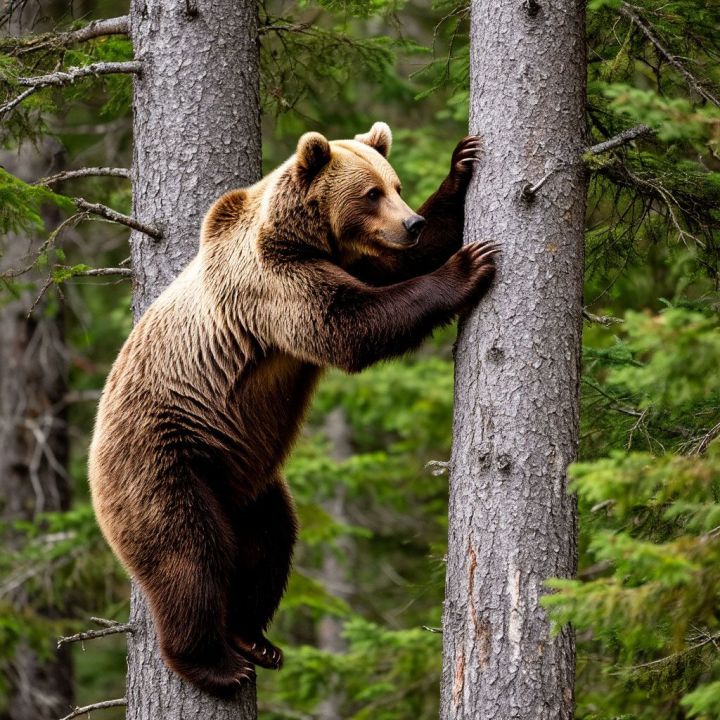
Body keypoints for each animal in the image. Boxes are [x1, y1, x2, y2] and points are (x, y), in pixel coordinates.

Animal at [88, 123, 496, 698]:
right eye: (371, 193)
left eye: (395, 186)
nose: (409, 224)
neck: (305, 240)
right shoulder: (272, 286)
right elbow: (351, 323)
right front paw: (468, 266)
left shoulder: (350, 260)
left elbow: (400, 265)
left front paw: (461, 167)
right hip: (161, 458)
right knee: (188, 554)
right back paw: (214, 662)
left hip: (248, 481)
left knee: (271, 540)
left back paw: (252, 637)